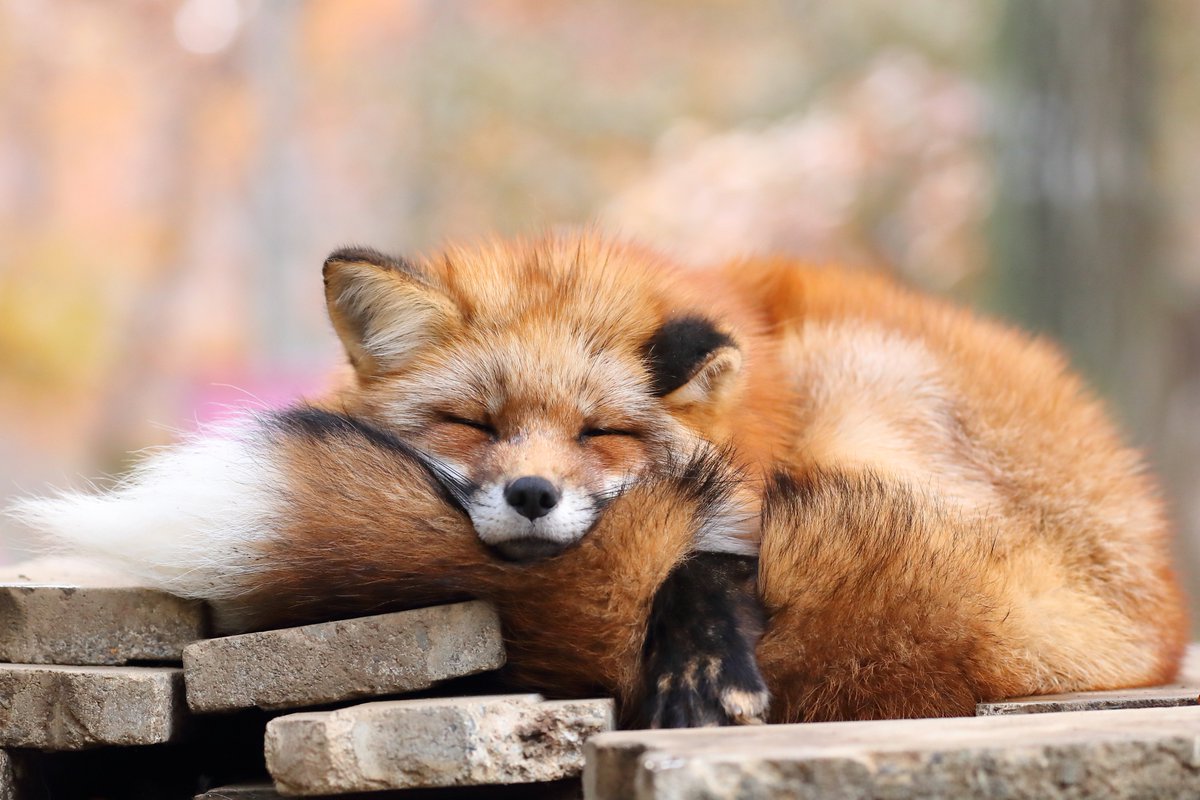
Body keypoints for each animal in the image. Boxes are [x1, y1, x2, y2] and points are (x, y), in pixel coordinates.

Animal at [11, 231, 1189, 728]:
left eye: (602, 434)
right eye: (474, 424)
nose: (533, 497)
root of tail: (1153, 608)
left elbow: (715, 552)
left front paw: (699, 669)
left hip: (866, 392)